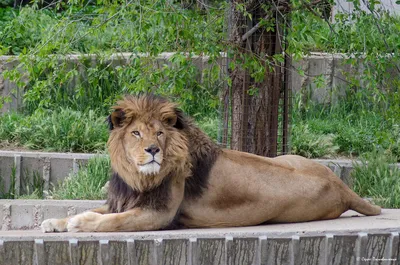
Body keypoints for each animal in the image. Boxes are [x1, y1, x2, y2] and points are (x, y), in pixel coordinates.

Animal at [41, 93, 382, 231]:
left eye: (160, 133)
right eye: (136, 132)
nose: (152, 150)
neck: (137, 176)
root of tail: (341, 186)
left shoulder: (159, 213)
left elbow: (113, 220)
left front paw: (80, 222)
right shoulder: (125, 200)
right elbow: (102, 211)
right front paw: (54, 221)